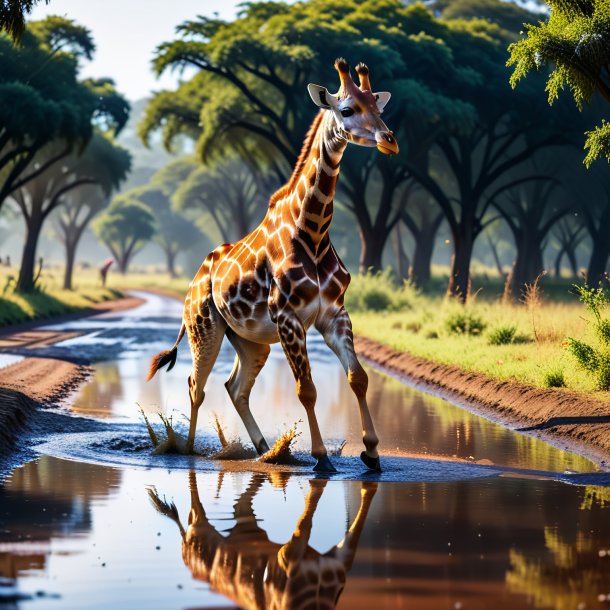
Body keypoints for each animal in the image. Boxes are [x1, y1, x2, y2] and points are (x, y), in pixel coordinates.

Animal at [147, 58, 394, 470]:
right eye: (347, 110)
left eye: (378, 107)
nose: (389, 139)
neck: (311, 233)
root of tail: (196, 278)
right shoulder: (287, 317)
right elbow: (307, 389)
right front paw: (321, 457)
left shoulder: (334, 313)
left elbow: (358, 378)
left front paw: (372, 452)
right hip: (205, 328)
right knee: (197, 385)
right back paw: (189, 450)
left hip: (250, 340)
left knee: (235, 387)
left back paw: (266, 449)